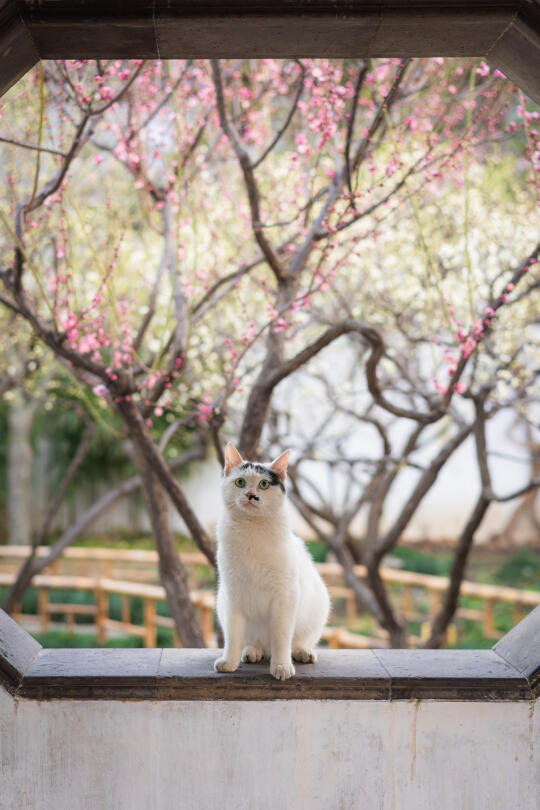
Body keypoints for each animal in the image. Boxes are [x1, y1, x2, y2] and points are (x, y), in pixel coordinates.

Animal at [214, 446, 332, 680]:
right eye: (240, 482)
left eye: (264, 484)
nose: (251, 495)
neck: (251, 530)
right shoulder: (233, 595)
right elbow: (233, 636)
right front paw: (229, 662)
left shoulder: (284, 595)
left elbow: (281, 637)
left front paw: (281, 666)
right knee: (251, 642)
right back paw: (251, 652)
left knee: (297, 641)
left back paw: (303, 652)